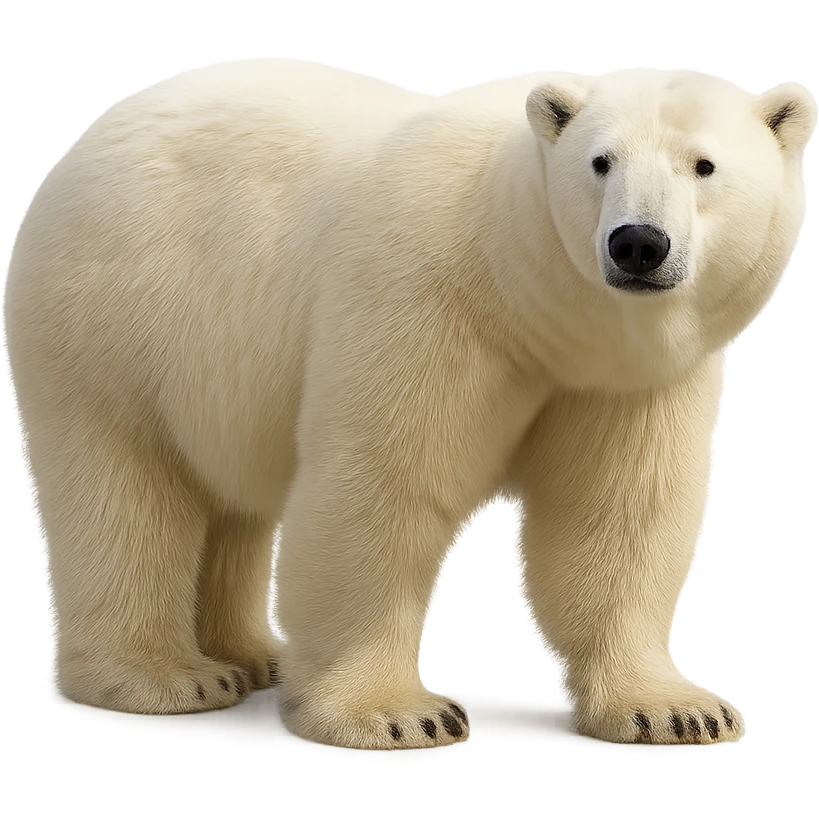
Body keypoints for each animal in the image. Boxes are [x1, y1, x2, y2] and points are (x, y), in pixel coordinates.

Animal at [4, 58, 815, 750]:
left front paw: (675, 709)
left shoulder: (622, 378)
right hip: (116, 316)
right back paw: (169, 675)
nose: (637, 243)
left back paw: (253, 654)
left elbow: (617, 510)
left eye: (703, 165)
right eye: (600, 161)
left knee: (231, 501)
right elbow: (387, 481)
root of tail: (79, 143)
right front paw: (398, 715)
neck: (517, 280)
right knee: (123, 488)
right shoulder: (428, 294)